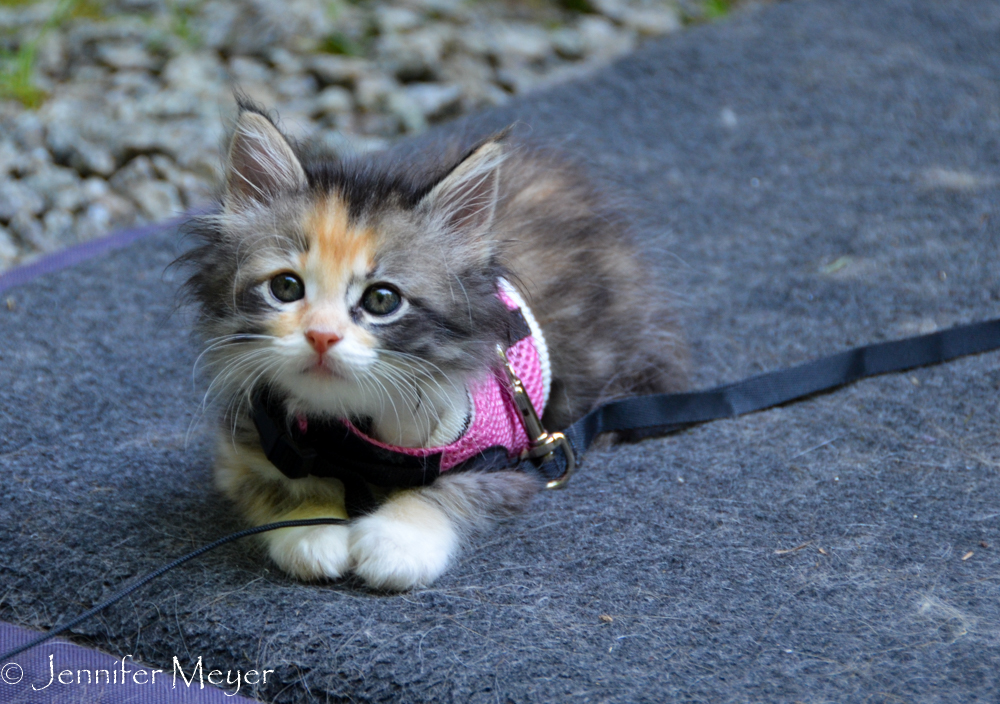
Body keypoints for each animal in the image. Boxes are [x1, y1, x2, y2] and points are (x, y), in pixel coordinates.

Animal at [182, 103, 688, 588]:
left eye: (382, 299)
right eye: (286, 288)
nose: (321, 335)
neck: (350, 439)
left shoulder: (507, 464)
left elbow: (442, 493)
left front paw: (395, 542)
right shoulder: (243, 447)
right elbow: (282, 486)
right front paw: (311, 529)